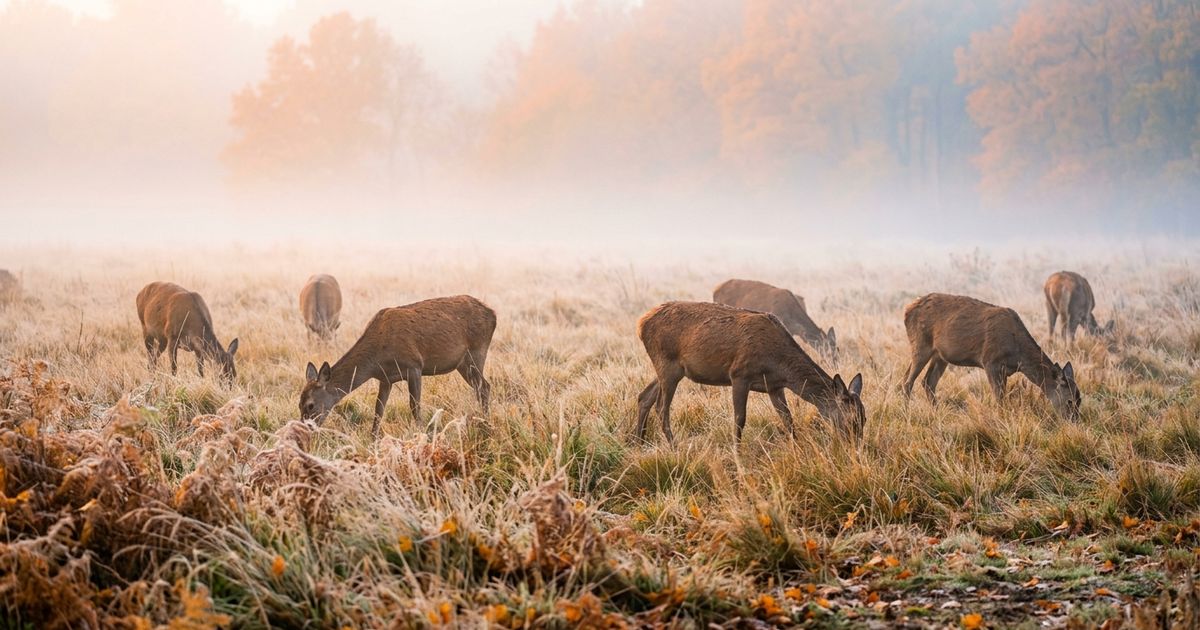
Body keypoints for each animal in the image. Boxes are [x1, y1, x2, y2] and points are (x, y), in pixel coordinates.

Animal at [299, 295, 496, 437]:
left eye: (310, 405)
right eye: (298, 404)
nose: (303, 429)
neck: (376, 359)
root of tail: (493, 313)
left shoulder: (414, 365)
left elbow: (414, 406)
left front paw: (421, 434)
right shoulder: (385, 378)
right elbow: (378, 409)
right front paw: (373, 438)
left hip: (477, 351)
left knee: (484, 386)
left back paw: (486, 422)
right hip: (462, 363)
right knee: (481, 387)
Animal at [634, 301, 864, 444]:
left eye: (864, 419)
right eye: (851, 420)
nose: (856, 449)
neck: (779, 366)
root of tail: (641, 324)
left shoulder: (774, 386)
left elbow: (788, 420)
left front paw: (797, 448)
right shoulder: (739, 374)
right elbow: (739, 419)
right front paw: (737, 455)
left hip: (669, 368)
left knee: (644, 396)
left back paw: (638, 442)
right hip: (667, 363)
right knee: (661, 407)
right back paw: (674, 447)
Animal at [902, 293, 1080, 419]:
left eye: (1080, 399)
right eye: (1069, 400)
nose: (1074, 421)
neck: (1018, 355)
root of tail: (906, 310)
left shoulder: (1005, 370)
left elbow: (1002, 395)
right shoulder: (990, 361)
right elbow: (999, 397)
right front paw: (1001, 418)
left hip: (940, 355)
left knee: (927, 381)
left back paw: (936, 412)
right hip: (920, 344)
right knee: (907, 381)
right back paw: (907, 413)